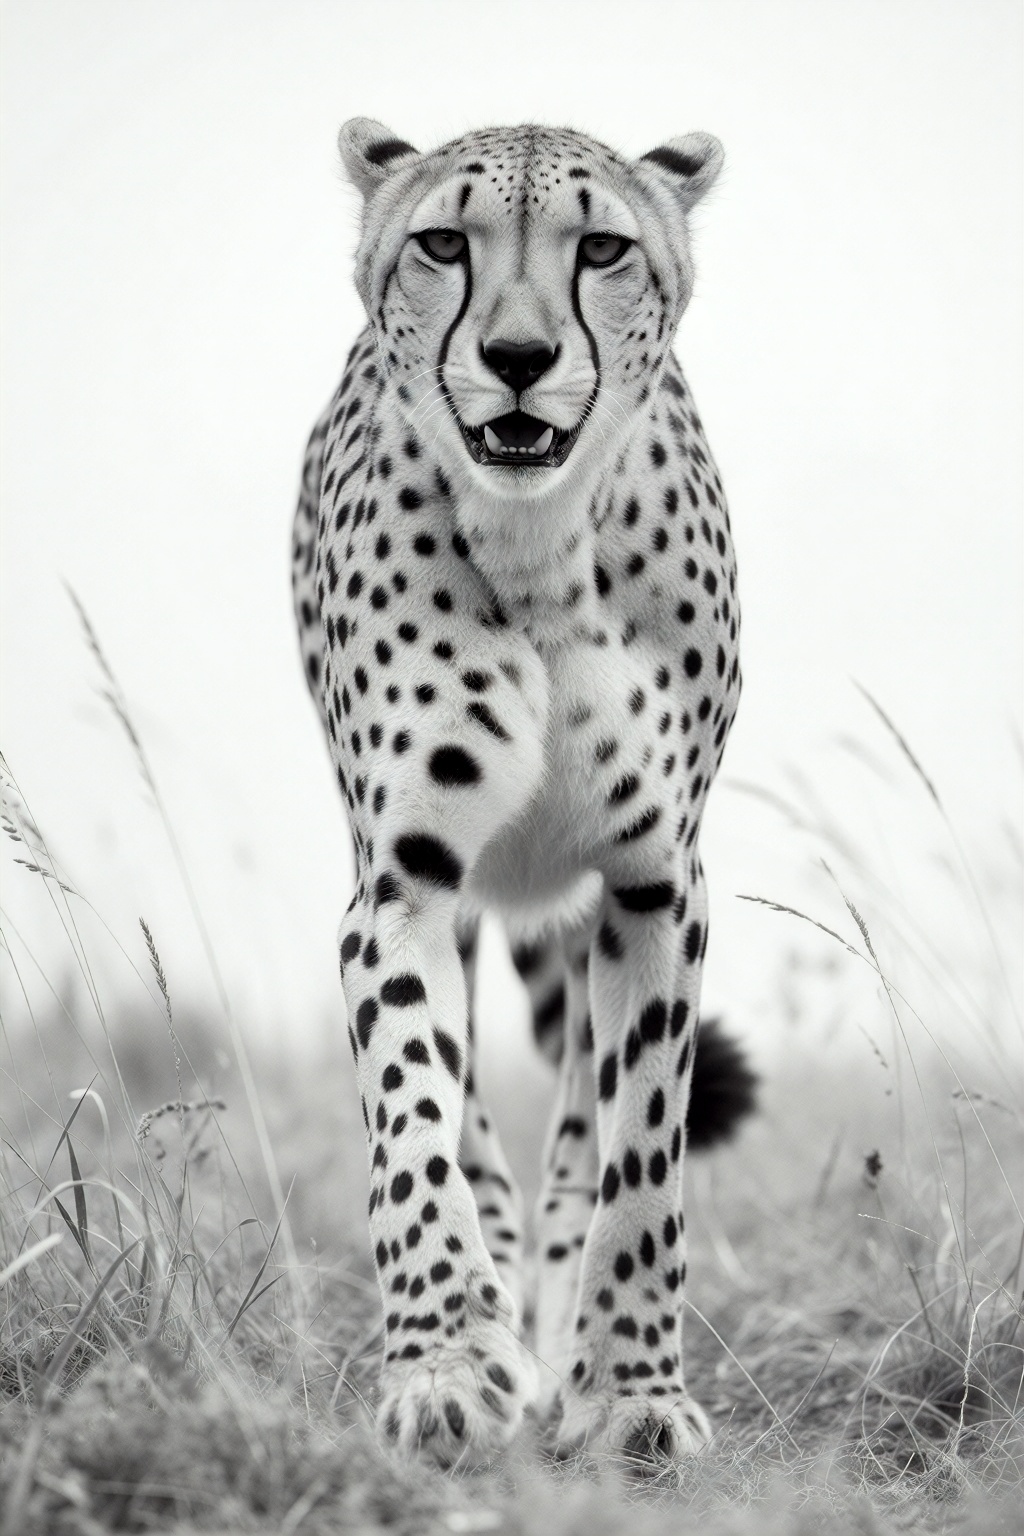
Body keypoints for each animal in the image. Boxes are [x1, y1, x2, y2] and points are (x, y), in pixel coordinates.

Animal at [291, 118, 755, 1469]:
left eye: (600, 249)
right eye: (445, 243)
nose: (515, 358)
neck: (541, 542)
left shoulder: (656, 884)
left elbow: (640, 1154)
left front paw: (631, 1388)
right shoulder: (400, 886)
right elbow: (414, 1122)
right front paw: (446, 1360)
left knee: (574, 1132)